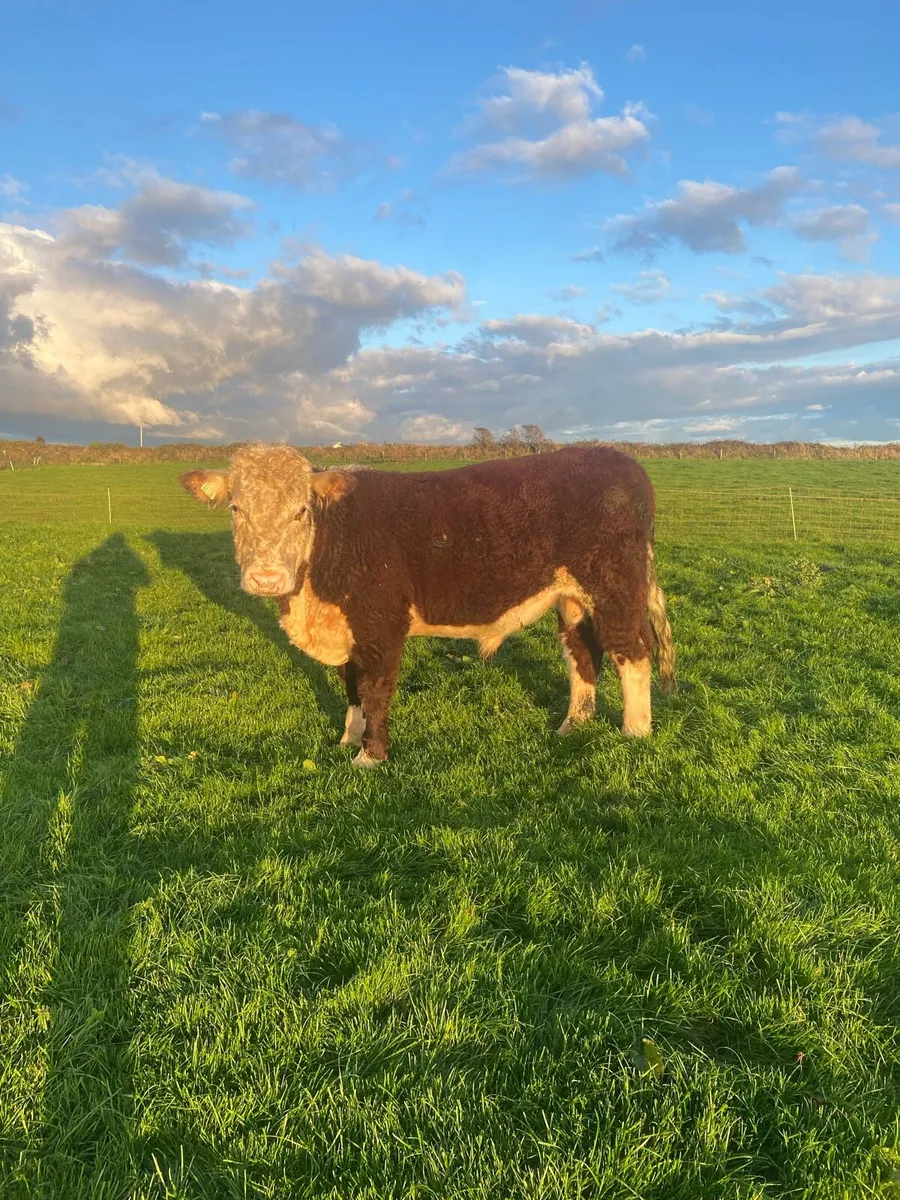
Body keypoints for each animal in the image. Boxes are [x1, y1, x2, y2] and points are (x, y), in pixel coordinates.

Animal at [181, 444, 675, 767]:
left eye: (302, 510)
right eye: (236, 509)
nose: (266, 578)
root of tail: (619, 458)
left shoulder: (380, 624)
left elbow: (375, 689)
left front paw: (371, 756)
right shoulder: (348, 627)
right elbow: (351, 685)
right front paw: (348, 739)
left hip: (615, 586)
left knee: (632, 653)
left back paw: (635, 731)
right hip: (572, 598)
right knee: (582, 652)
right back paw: (574, 725)